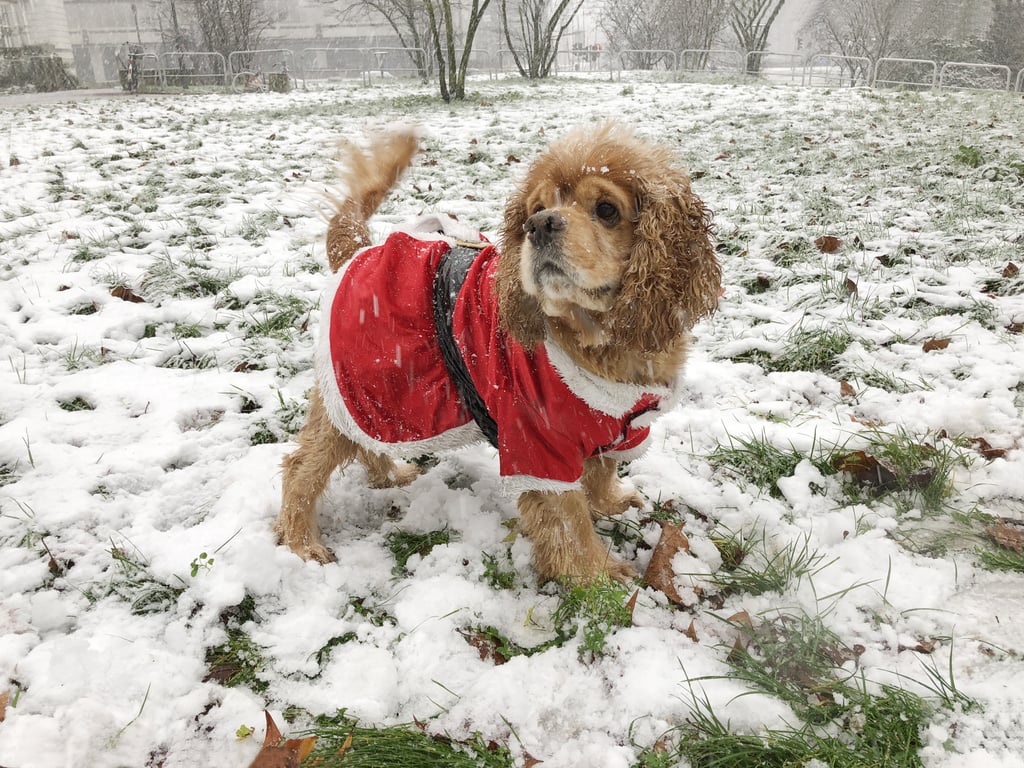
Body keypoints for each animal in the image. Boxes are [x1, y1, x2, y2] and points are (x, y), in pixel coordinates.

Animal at [274, 124, 720, 581]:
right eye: (536, 208)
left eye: (607, 210)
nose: (538, 224)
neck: (597, 340)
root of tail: (358, 251)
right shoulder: (537, 445)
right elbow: (569, 521)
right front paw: (599, 574)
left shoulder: (616, 424)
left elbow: (601, 472)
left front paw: (610, 503)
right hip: (366, 383)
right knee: (301, 467)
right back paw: (303, 543)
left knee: (364, 442)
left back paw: (391, 476)